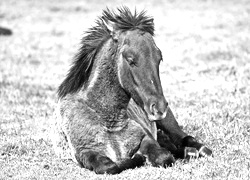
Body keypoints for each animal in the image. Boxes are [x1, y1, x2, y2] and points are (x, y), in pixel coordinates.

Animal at [51, 7, 212, 174]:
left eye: (159, 58)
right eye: (130, 59)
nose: (159, 108)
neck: (107, 120)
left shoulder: (145, 137)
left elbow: (163, 156)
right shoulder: (85, 152)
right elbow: (109, 166)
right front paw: (139, 158)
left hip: (167, 121)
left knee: (184, 137)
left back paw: (198, 150)